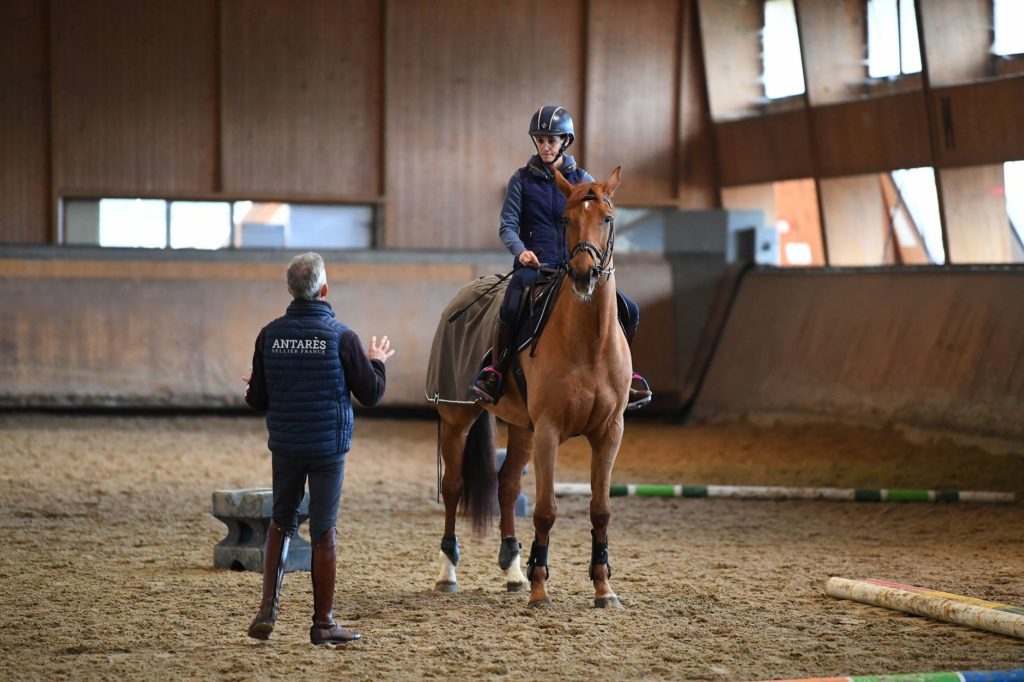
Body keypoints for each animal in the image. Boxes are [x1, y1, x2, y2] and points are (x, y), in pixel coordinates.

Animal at [434, 164, 626, 606]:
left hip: (522, 428)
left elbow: (601, 509)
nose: (584, 274)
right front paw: (540, 588)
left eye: (607, 219)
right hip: (456, 418)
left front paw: (603, 587)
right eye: (566, 220)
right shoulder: (550, 431)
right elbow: (545, 510)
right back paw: (448, 569)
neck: (589, 344)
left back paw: (513, 570)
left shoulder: (609, 432)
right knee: (453, 487)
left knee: (506, 486)